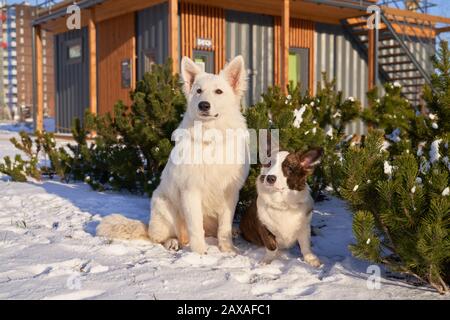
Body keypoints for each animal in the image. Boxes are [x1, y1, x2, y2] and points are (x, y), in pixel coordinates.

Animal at [97, 55, 250, 255]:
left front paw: (228, 249)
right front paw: (200, 253)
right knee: (160, 237)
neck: (210, 138)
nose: (203, 105)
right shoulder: (190, 191)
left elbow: (224, 227)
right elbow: (195, 227)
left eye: (219, 91)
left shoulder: (229, 194)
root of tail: (149, 225)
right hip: (164, 207)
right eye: (198, 91)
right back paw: (172, 242)